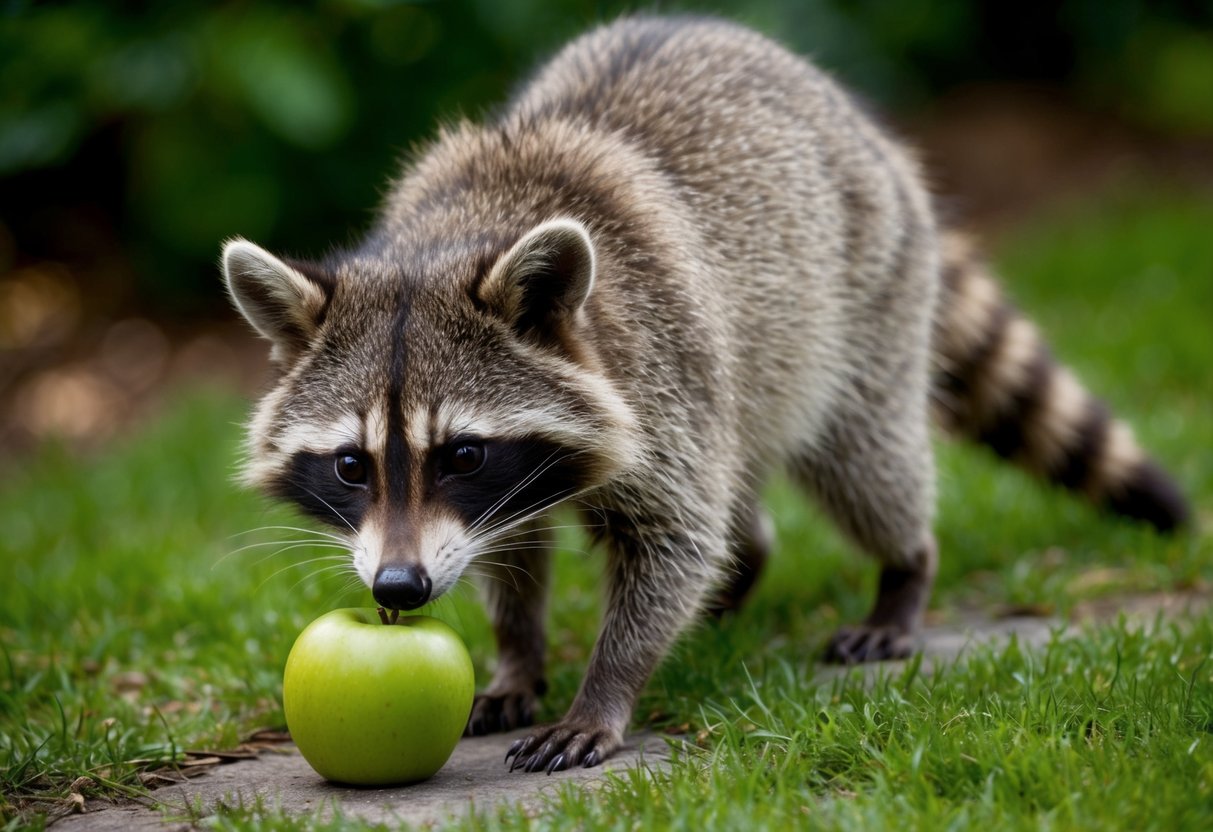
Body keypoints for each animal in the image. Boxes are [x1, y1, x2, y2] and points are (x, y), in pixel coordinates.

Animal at [221, 16, 1188, 772]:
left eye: (462, 452)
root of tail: (853, 118)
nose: (399, 587)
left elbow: (675, 535)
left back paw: (904, 569)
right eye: (351, 465)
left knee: (861, 460)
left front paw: (606, 684)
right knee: (742, 502)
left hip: (863, 297)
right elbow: (514, 548)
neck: (452, 232)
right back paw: (740, 575)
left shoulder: (655, 373)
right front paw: (517, 656)